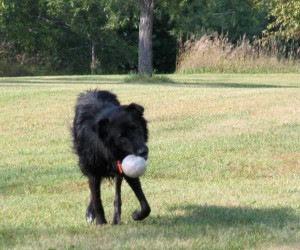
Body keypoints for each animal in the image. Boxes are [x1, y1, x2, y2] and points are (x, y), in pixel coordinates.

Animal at [72, 90, 151, 225]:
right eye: (121, 137)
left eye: (136, 128)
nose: (143, 152)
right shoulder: (92, 170)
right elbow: (97, 198)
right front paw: (101, 223)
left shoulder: (124, 167)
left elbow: (144, 204)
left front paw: (137, 215)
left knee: (117, 194)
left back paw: (116, 218)